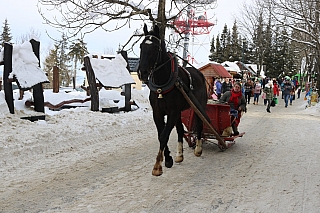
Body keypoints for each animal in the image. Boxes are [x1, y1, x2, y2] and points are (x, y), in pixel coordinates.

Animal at [138, 24, 208, 176]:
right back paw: (179, 155)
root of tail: (200, 73)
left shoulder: (172, 112)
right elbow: (161, 135)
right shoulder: (158, 113)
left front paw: (158, 166)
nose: (142, 73)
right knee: (181, 130)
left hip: (198, 105)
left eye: (155, 48)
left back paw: (198, 149)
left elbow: (164, 135)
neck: (162, 84)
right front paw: (168, 159)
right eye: (141, 46)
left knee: (200, 123)